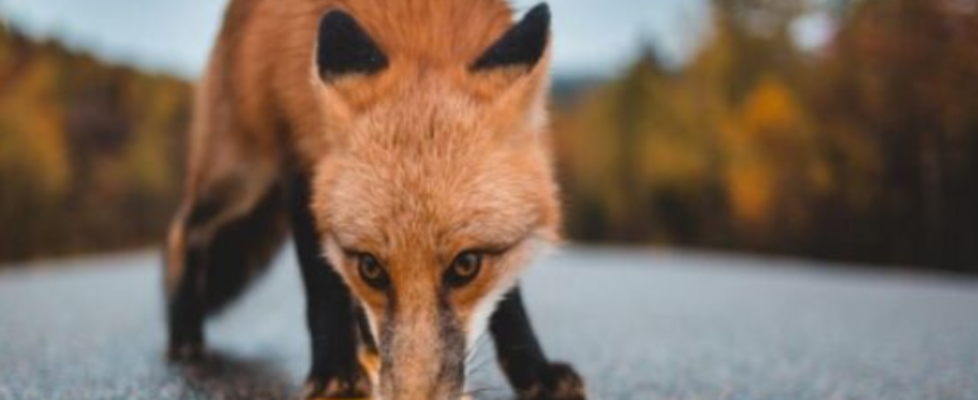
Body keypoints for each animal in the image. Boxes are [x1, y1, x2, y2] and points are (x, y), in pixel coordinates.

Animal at [163, 0, 585, 399]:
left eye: (466, 266)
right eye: (371, 269)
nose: (412, 398)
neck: (419, 30)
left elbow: (509, 300)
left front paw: (533, 370)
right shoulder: (301, 159)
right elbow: (323, 286)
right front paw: (333, 372)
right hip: (240, 176)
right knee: (184, 230)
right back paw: (184, 333)